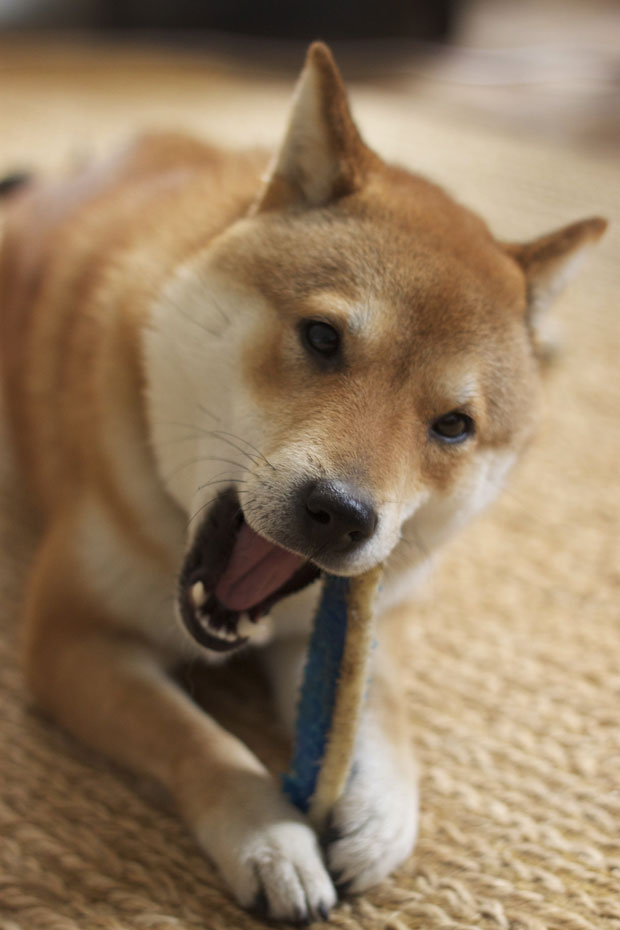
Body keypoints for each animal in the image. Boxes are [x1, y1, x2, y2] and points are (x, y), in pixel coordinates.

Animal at [0, 42, 606, 923]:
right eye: (322, 338)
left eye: (453, 426)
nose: (342, 514)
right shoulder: (70, 638)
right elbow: (196, 739)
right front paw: (269, 838)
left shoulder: (378, 607)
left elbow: (379, 710)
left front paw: (381, 813)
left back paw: (551, 335)